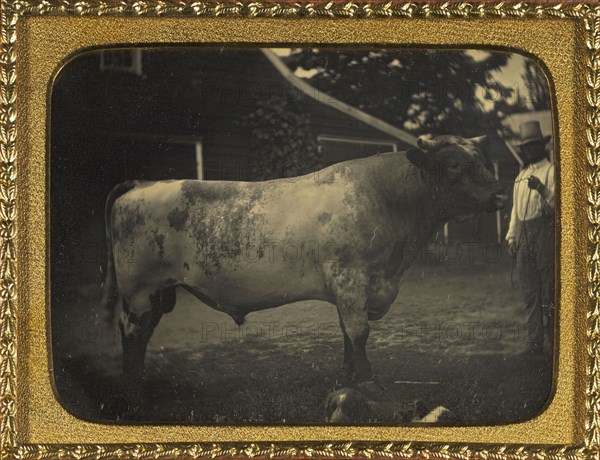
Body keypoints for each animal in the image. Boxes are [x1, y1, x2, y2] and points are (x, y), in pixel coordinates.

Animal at [102, 135, 506, 386]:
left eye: (486, 162)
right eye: (453, 166)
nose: (500, 195)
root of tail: (142, 183)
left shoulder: (354, 289)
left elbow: (346, 333)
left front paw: (347, 378)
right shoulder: (351, 279)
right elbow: (359, 332)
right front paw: (367, 380)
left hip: (158, 292)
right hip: (139, 290)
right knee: (132, 333)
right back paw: (133, 387)